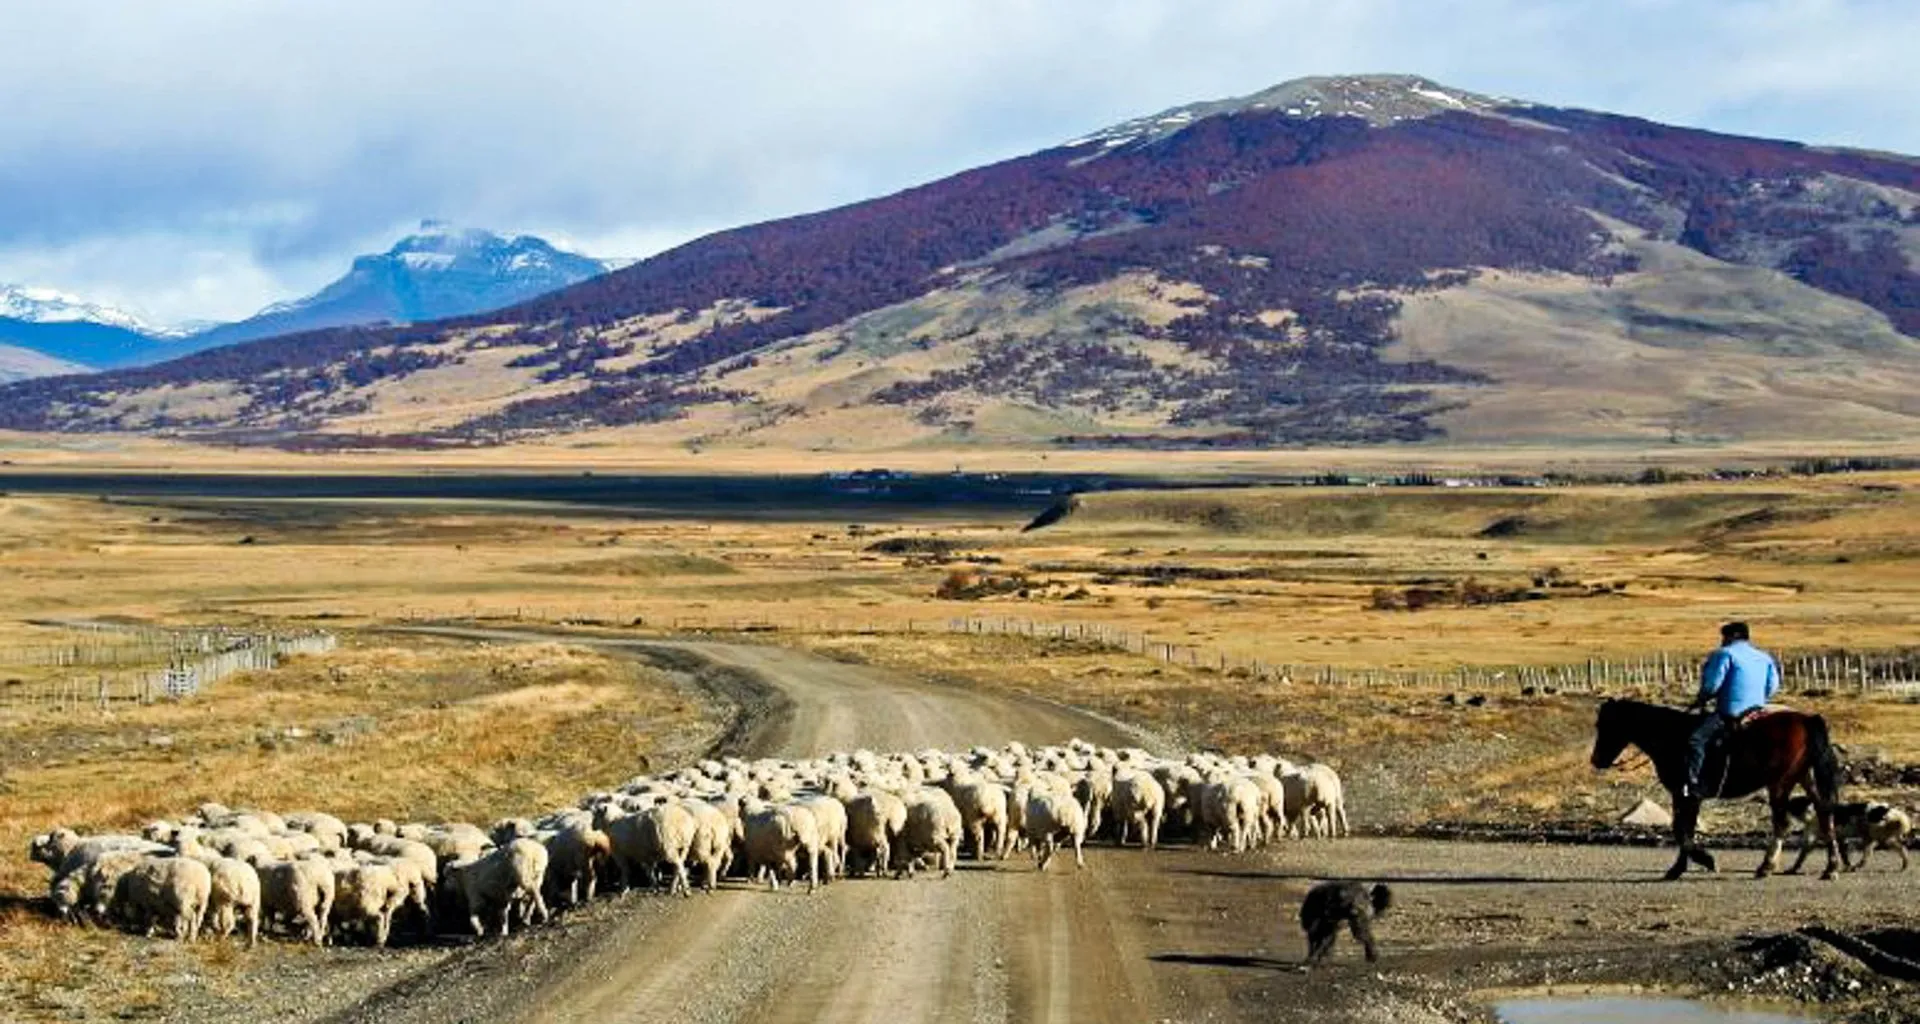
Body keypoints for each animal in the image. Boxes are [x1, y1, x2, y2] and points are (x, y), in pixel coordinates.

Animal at [1589, 698, 1844, 880]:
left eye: (1605, 725)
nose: (1596, 760)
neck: (1672, 736)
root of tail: (1806, 720)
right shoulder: (1685, 796)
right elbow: (1684, 828)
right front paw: (1680, 868)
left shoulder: (1687, 795)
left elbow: (1682, 830)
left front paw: (1704, 861)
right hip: (1805, 777)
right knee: (1824, 814)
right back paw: (1831, 868)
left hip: (1780, 784)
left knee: (1783, 823)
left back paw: (1766, 866)